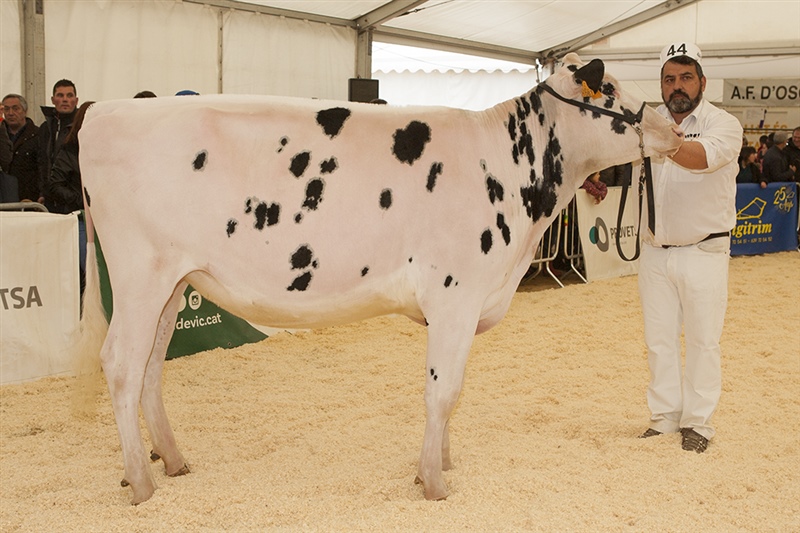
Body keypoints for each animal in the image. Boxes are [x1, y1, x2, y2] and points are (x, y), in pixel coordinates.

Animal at [73, 53, 680, 502]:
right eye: (612, 90)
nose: (673, 128)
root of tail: (100, 111)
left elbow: (451, 390)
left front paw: (441, 462)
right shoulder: (456, 295)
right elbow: (444, 391)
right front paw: (433, 481)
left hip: (173, 282)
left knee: (150, 368)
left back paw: (172, 460)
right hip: (140, 276)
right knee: (121, 365)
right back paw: (142, 482)